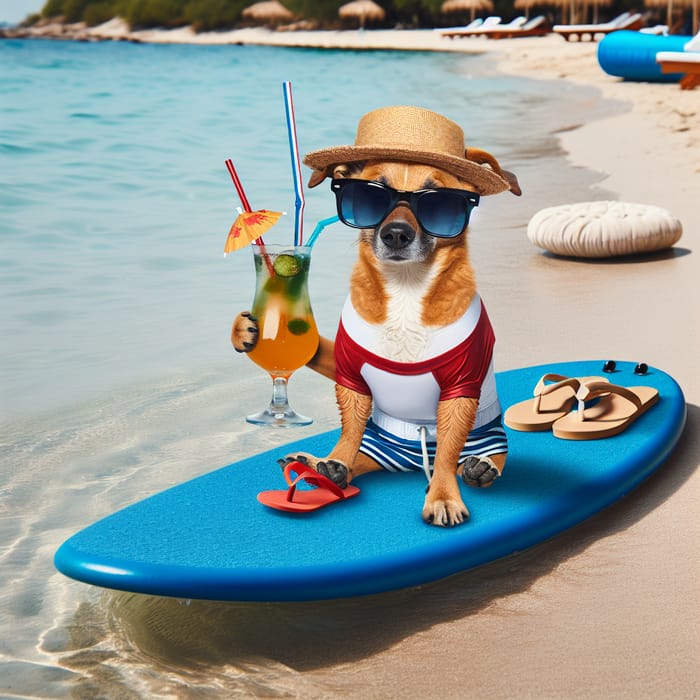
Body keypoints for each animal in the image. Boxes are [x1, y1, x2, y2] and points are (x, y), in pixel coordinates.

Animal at [234, 106, 520, 528]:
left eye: (441, 204)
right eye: (370, 195)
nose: (396, 234)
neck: (405, 291)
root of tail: (410, 459)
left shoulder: (460, 390)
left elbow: (449, 452)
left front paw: (443, 496)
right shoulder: (350, 376)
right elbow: (349, 432)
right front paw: (334, 462)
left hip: (488, 436)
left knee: (482, 457)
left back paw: (480, 467)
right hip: (376, 443)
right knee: (358, 455)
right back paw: (319, 465)